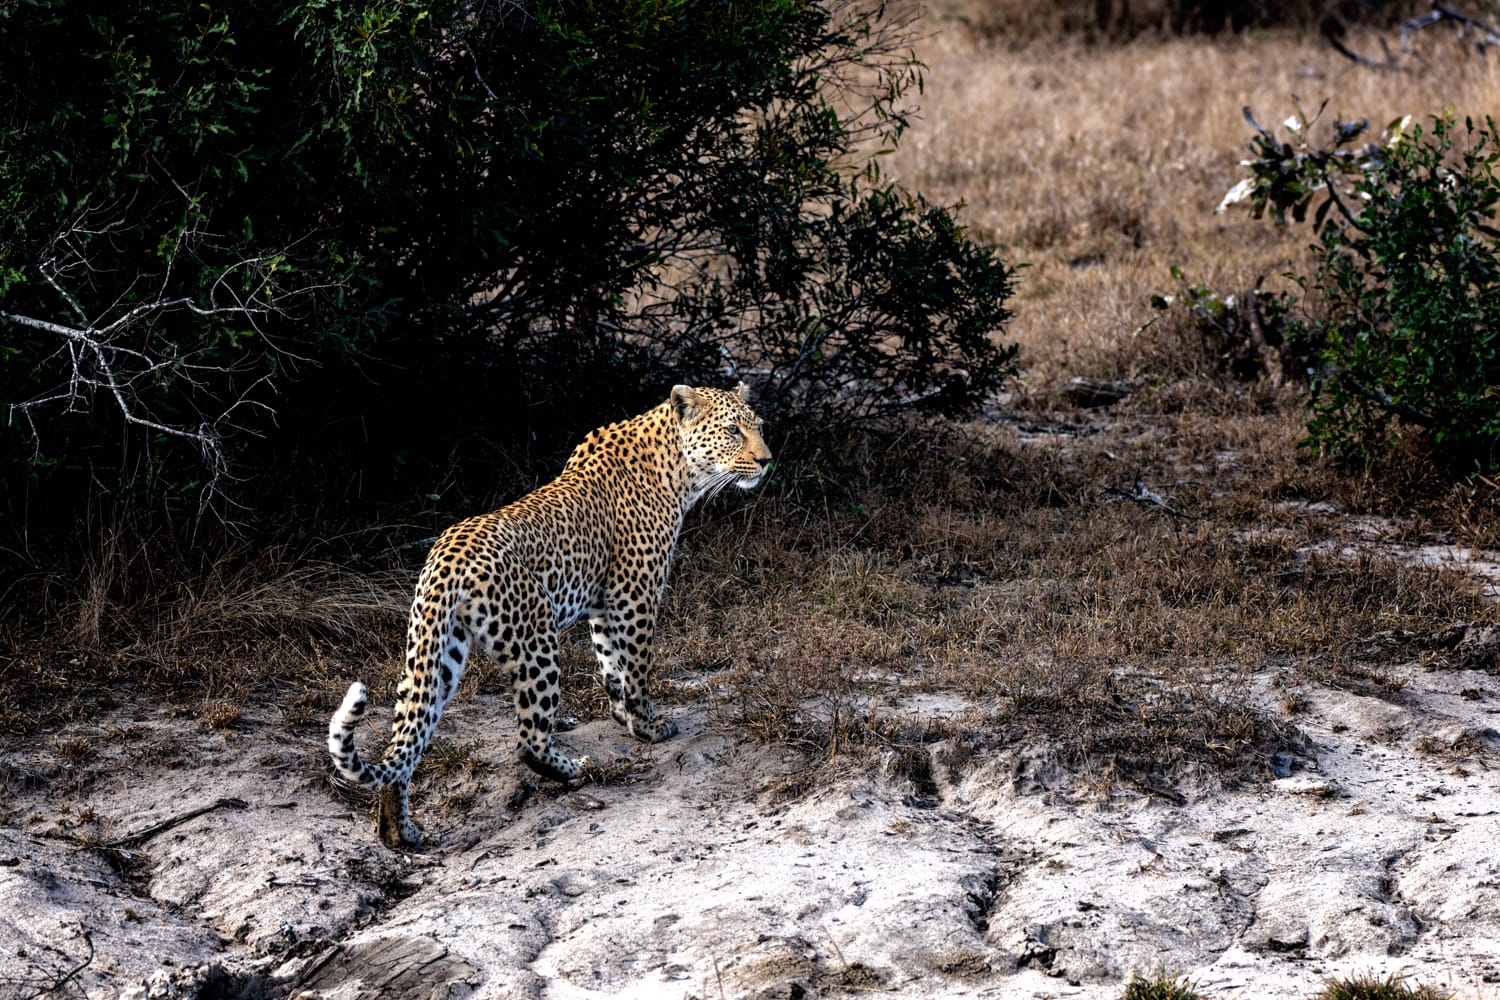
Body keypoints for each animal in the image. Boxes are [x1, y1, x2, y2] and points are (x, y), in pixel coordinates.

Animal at [328, 384, 771, 846]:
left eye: (759, 427)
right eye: (732, 430)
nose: (766, 461)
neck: (680, 471)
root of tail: (448, 558)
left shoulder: (603, 604)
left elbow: (611, 664)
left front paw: (623, 716)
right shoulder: (634, 596)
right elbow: (637, 667)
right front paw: (648, 725)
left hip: (435, 653)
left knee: (406, 739)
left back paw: (399, 833)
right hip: (535, 641)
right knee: (528, 740)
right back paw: (575, 770)